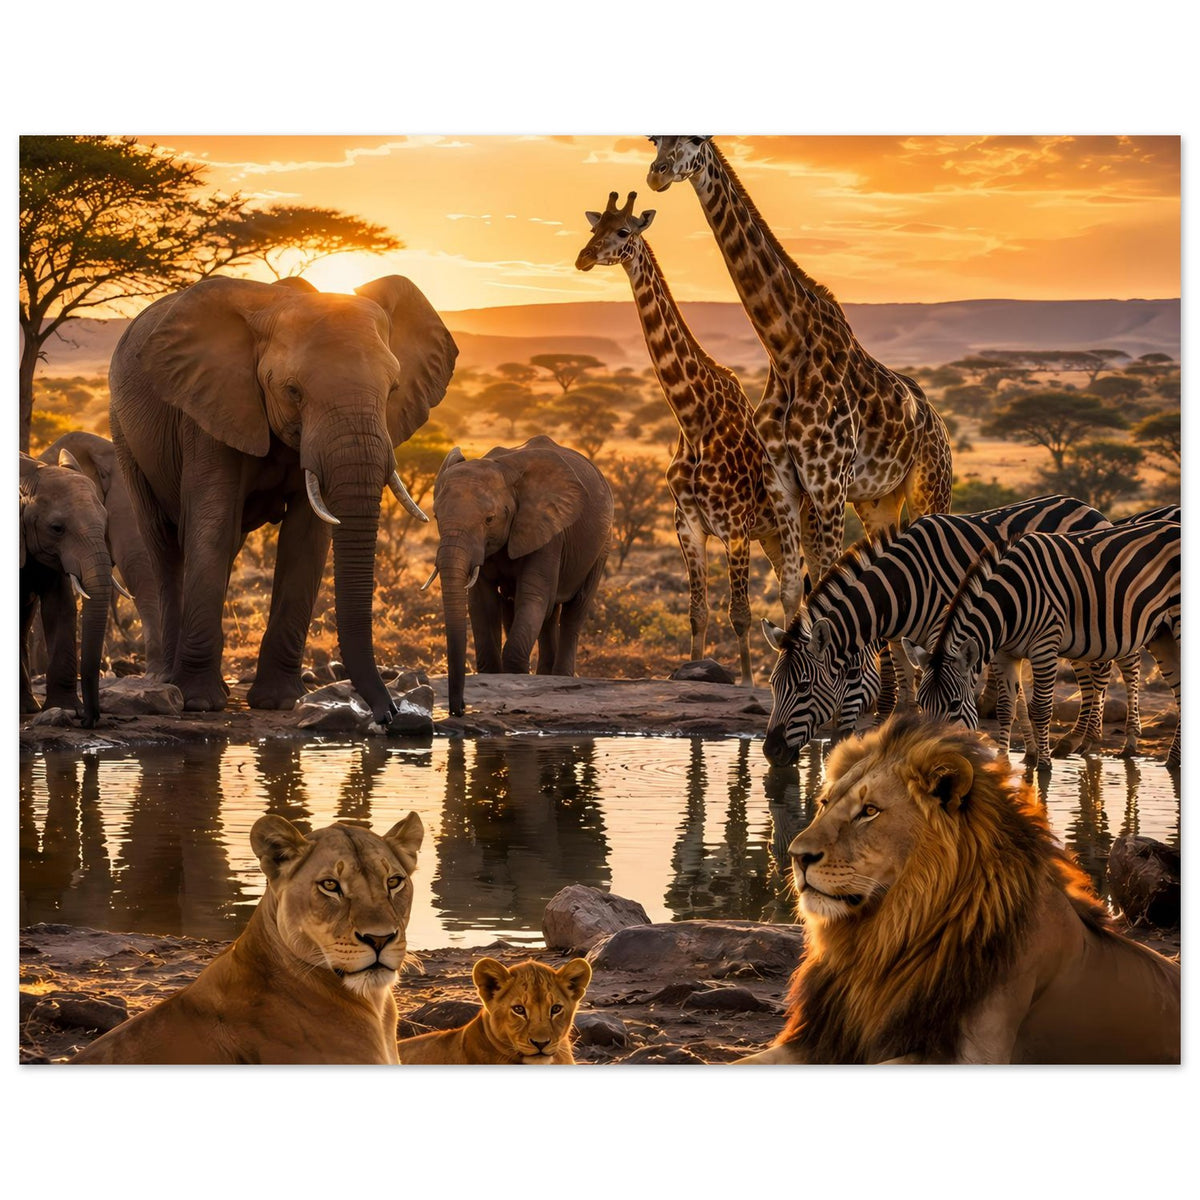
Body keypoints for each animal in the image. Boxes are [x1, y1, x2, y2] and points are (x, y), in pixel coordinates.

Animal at [737, 714, 1180, 1064]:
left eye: (869, 811)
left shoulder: (974, 1052)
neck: (882, 940)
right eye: (825, 803)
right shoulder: (823, 1038)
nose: (796, 855)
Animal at [760, 495, 1108, 766]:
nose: (770, 752)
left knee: (1099, 672)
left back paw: (1084, 741)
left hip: (1084, 615)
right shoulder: (901, 641)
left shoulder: (944, 633)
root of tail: (1087, 507)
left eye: (804, 686)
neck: (902, 587)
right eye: (773, 685)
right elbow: (907, 698)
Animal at [909, 519, 1180, 768]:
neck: (1008, 603)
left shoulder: (1044, 647)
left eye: (954, 704)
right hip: (1161, 634)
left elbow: (1040, 709)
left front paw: (1044, 766)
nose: (928, 758)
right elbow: (1005, 708)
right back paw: (1172, 761)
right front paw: (1003, 763)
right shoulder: (1004, 654)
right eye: (920, 704)